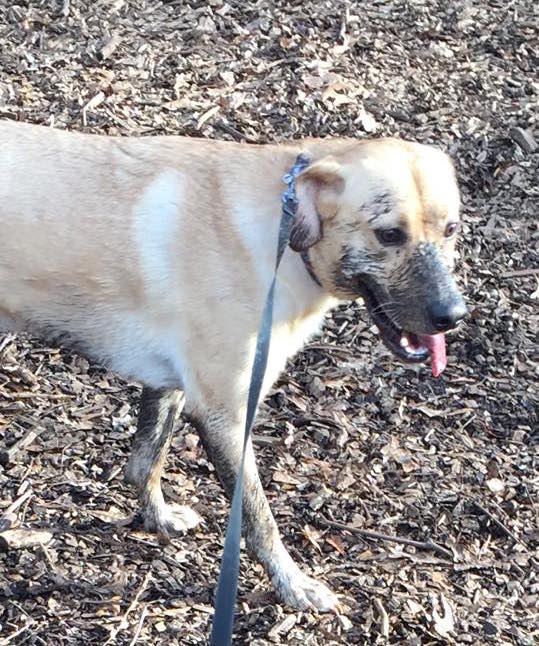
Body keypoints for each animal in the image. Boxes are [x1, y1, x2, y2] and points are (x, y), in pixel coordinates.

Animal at [0, 121, 466, 612]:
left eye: (451, 228)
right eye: (389, 234)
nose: (453, 315)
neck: (282, 229)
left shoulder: (172, 384)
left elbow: (145, 460)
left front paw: (158, 517)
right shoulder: (225, 415)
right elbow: (258, 520)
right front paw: (293, 585)